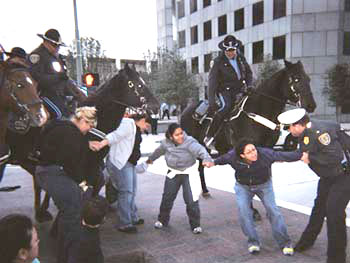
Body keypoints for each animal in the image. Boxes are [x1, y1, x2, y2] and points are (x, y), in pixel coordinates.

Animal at [180, 59, 318, 203]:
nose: (311, 105)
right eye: (296, 79)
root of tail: (187, 109)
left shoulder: (267, 148)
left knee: (201, 166)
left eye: (308, 79)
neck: (258, 111)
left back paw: (205, 190)